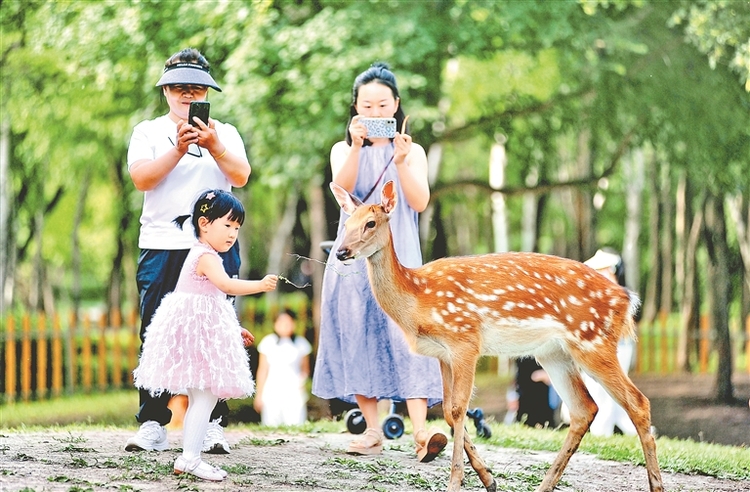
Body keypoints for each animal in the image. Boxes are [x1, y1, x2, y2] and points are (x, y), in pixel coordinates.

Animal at [330, 181, 664, 492]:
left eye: (370, 223)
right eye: (345, 224)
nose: (341, 251)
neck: (418, 298)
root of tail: (627, 298)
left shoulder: (465, 339)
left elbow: (458, 409)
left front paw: (456, 481)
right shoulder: (442, 354)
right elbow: (449, 413)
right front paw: (488, 478)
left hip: (593, 340)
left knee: (637, 402)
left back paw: (656, 485)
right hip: (554, 352)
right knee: (584, 409)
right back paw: (544, 486)